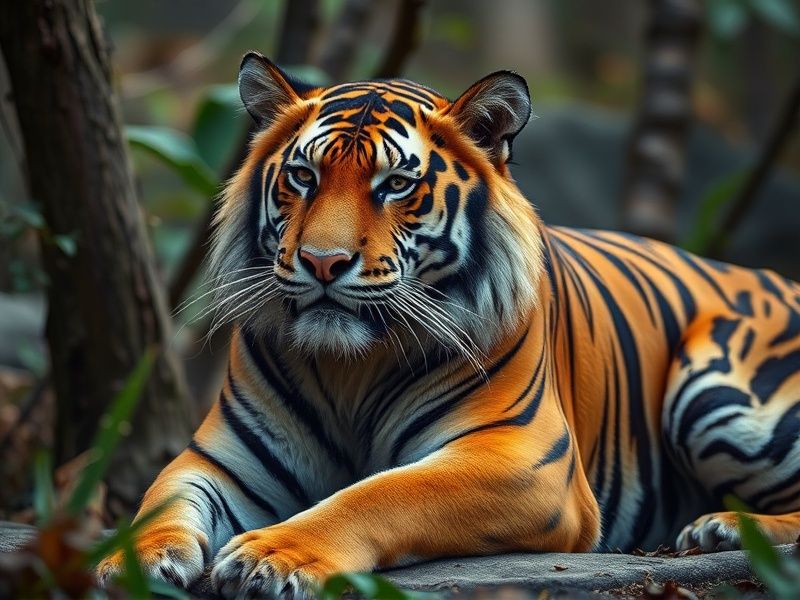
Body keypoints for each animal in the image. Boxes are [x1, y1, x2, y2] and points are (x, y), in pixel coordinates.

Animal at [97, 51, 800, 598]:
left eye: (394, 184)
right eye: (303, 175)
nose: (323, 262)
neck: (350, 366)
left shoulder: (520, 458)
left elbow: (379, 493)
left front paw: (270, 556)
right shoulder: (222, 457)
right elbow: (158, 502)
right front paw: (131, 561)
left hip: (714, 389)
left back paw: (721, 527)